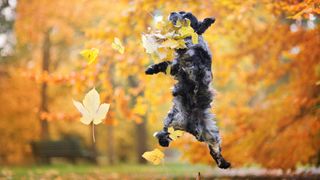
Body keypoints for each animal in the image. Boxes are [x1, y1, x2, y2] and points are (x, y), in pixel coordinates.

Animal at [145, 11, 230, 169]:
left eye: (186, 15)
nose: (172, 12)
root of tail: (189, 125)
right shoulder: (175, 66)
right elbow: (165, 64)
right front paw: (151, 69)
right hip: (170, 121)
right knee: (165, 135)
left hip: (211, 134)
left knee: (215, 150)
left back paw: (224, 163)